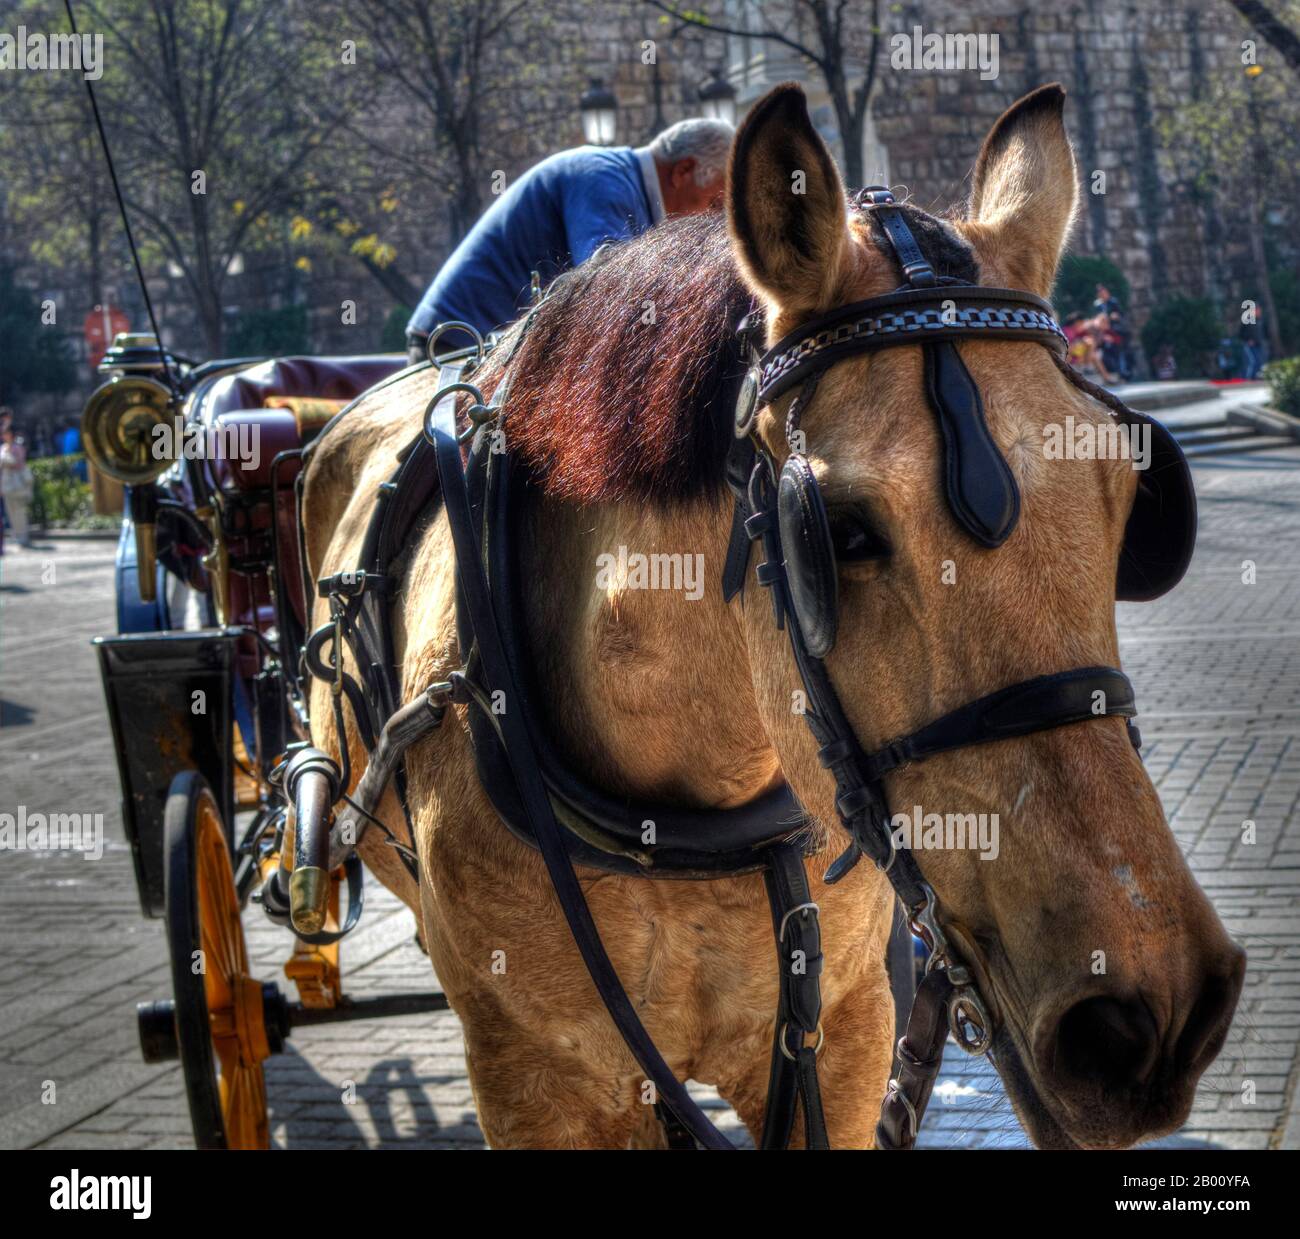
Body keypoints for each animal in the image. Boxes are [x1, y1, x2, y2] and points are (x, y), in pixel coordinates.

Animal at [299, 84, 1242, 1149]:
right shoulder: (535, 1078)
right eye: (840, 531)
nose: (1149, 1010)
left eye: (1128, 493)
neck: (687, 804)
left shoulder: (846, 1032)